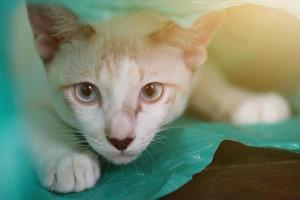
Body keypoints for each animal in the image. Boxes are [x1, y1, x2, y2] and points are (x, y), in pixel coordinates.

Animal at [11, 2, 290, 194]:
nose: (120, 140)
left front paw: (249, 103)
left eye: (151, 92)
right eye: (86, 92)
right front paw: (68, 160)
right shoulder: (27, 87)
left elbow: (210, 78)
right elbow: (40, 123)